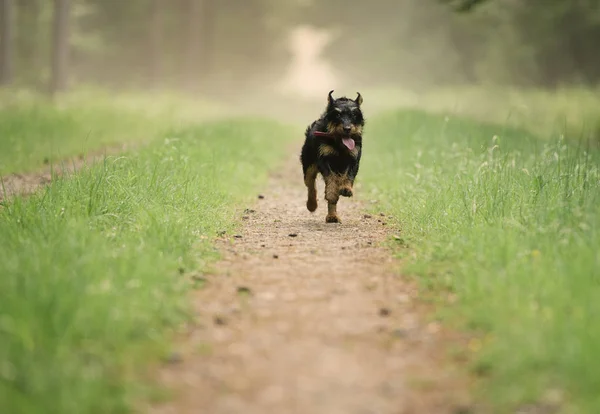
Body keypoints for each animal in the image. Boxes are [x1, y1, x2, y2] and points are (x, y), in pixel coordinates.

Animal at [300, 90, 366, 223]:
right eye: (337, 114)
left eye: (353, 114)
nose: (347, 128)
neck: (338, 143)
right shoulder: (324, 160)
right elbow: (330, 179)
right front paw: (330, 193)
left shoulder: (354, 159)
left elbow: (349, 175)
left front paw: (346, 189)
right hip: (308, 166)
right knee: (311, 186)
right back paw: (312, 205)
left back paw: (332, 216)